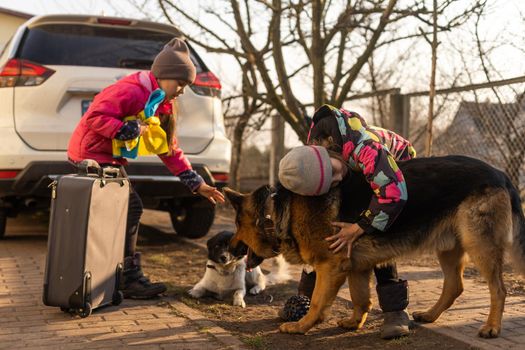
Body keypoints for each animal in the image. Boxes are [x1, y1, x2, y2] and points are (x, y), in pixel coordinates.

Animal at [224, 154, 524, 338]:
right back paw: (430, 315)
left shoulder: (330, 267)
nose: (229, 246)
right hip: (449, 249)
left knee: (498, 289)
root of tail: (501, 174)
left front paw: (302, 326)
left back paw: (491, 327)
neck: (276, 211)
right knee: (454, 286)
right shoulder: (354, 267)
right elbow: (361, 298)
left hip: (480, 246)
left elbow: (318, 301)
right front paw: (354, 323)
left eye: (238, 225)